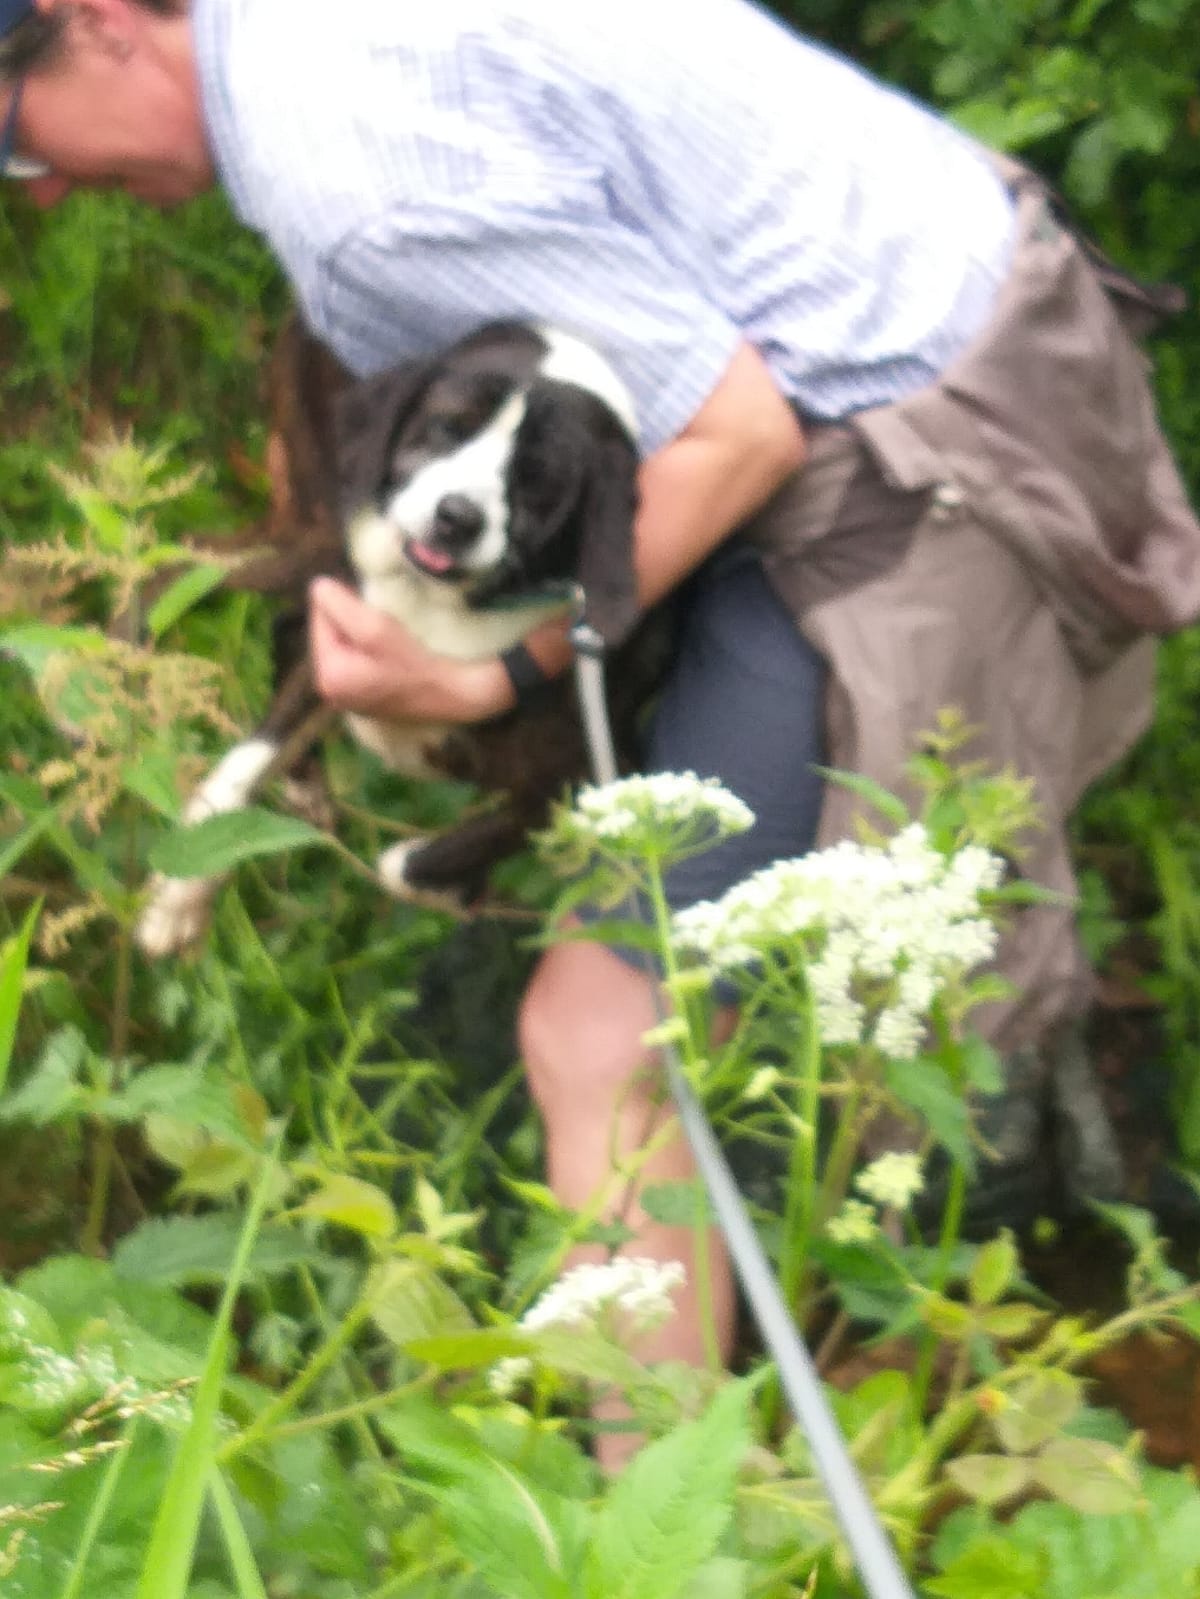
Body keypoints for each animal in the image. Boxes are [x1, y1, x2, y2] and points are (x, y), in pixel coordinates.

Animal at [136, 318, 673, 957]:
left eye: (537, 478)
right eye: (447, 427)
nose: (457, 517)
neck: (438, 607)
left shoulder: (596, 775)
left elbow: (404, 866)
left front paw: (457, 890)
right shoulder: (344, 637)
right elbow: (240, 771)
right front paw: (178, 900)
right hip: (321, 522)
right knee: (186, 567)